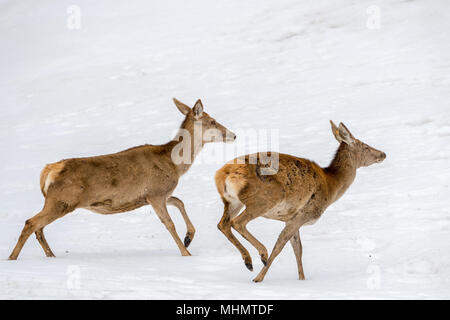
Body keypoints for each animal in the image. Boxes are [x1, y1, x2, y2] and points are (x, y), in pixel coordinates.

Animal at [8, 97, 237, 260]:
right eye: (212, 121)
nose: (233, 134)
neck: (174, 164)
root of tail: (49, 170)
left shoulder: (155, 194)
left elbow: (180, 201)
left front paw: (188, 237)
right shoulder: (156, 192)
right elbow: (169, 223)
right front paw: (186, 253)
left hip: (56, 200)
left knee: (38, 227)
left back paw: (50, 256)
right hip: (62, 200)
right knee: (31, 222)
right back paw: (13, 258)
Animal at [216, 121, 384, 282]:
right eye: (365, 146)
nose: (383, 154)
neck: (330, 186)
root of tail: (223, 174)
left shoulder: (290, 218)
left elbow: (298, 249)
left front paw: (301, 280)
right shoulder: (304, 213)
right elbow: (280, 246)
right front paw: (259, 278)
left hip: (232, 202)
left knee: (222, 224)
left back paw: (248, 261)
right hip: (264, 199)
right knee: (237, 222)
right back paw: (262, 255)